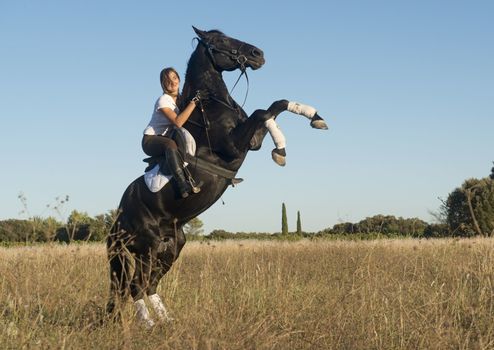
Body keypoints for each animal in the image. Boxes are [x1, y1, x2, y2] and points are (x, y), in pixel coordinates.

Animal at [106, 26, 326, 326]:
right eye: (221, 40)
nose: (258, 54)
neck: (210, 105)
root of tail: (118, 218)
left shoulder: (252, 140)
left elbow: (275, 106)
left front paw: (313, 119)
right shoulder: (235, 145)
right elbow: (263, 112)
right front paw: (281, 150)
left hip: (172, 245)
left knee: (149, 285)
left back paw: (167, 321)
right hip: (147, 246)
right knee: (136, 285)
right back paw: (149, 324)